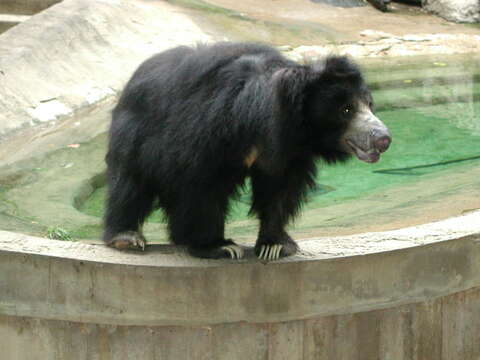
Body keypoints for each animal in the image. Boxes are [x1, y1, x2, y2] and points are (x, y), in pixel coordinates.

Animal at [103, 42, 392, 260]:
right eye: (346, 109)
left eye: (369, 104)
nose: (383, 138)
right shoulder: (209, 131)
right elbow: (200, 186)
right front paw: (219, 246)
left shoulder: (288, 152)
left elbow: (280, 190)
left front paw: (275, 245)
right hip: (136, 132)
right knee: (130, 182)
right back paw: (126, 237)